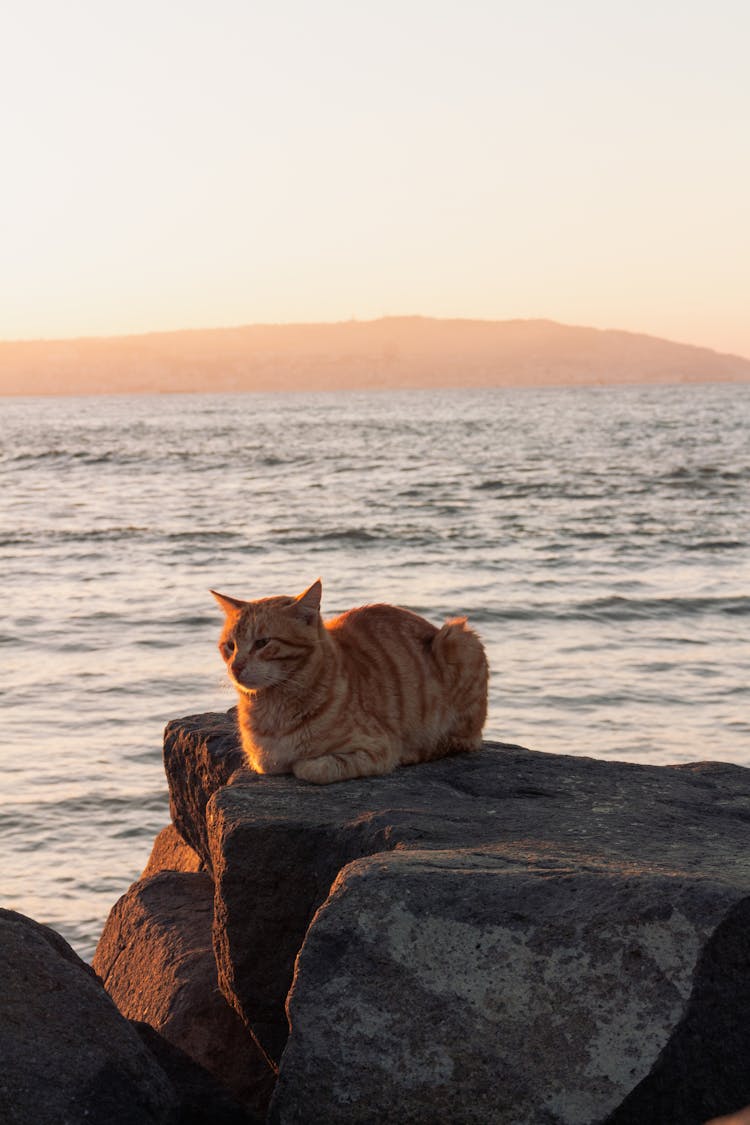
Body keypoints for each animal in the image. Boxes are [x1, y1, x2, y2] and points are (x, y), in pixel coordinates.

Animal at [211, 580, 492, 783]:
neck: (272, 708)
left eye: (262, 643)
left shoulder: (377, 748)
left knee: (460, 741)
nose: (235, 667)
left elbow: (310, 768)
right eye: (230, 646)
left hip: (459, 638)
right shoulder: (262, 762)